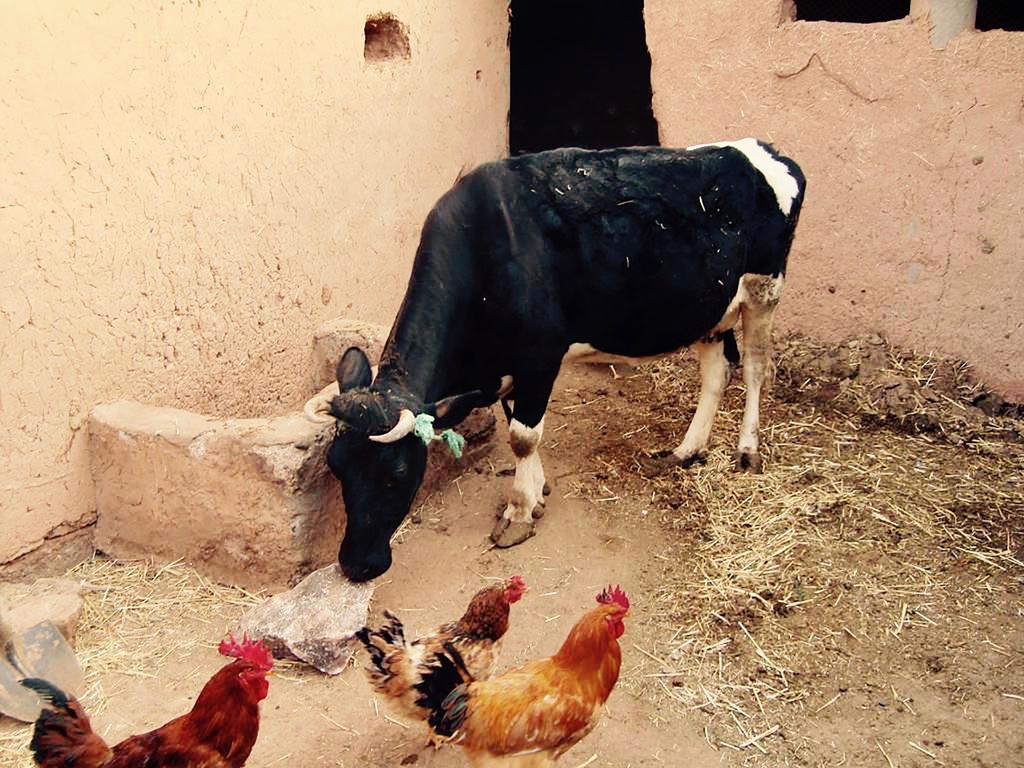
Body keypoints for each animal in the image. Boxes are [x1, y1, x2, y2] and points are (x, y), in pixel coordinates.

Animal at [305, 140, 806, 581]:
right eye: (336, 466)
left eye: (397, 473)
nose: (357, 565)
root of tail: (767, 150)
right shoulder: (511, 367)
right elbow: (517, 424)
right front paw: (537, 491)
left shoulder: (540, 355)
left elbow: (523, 436)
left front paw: (520, 512)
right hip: (711, 307)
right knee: (717, 372)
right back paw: (686, 450)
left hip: (765, 289)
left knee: (756, 368)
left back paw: (747, 451)